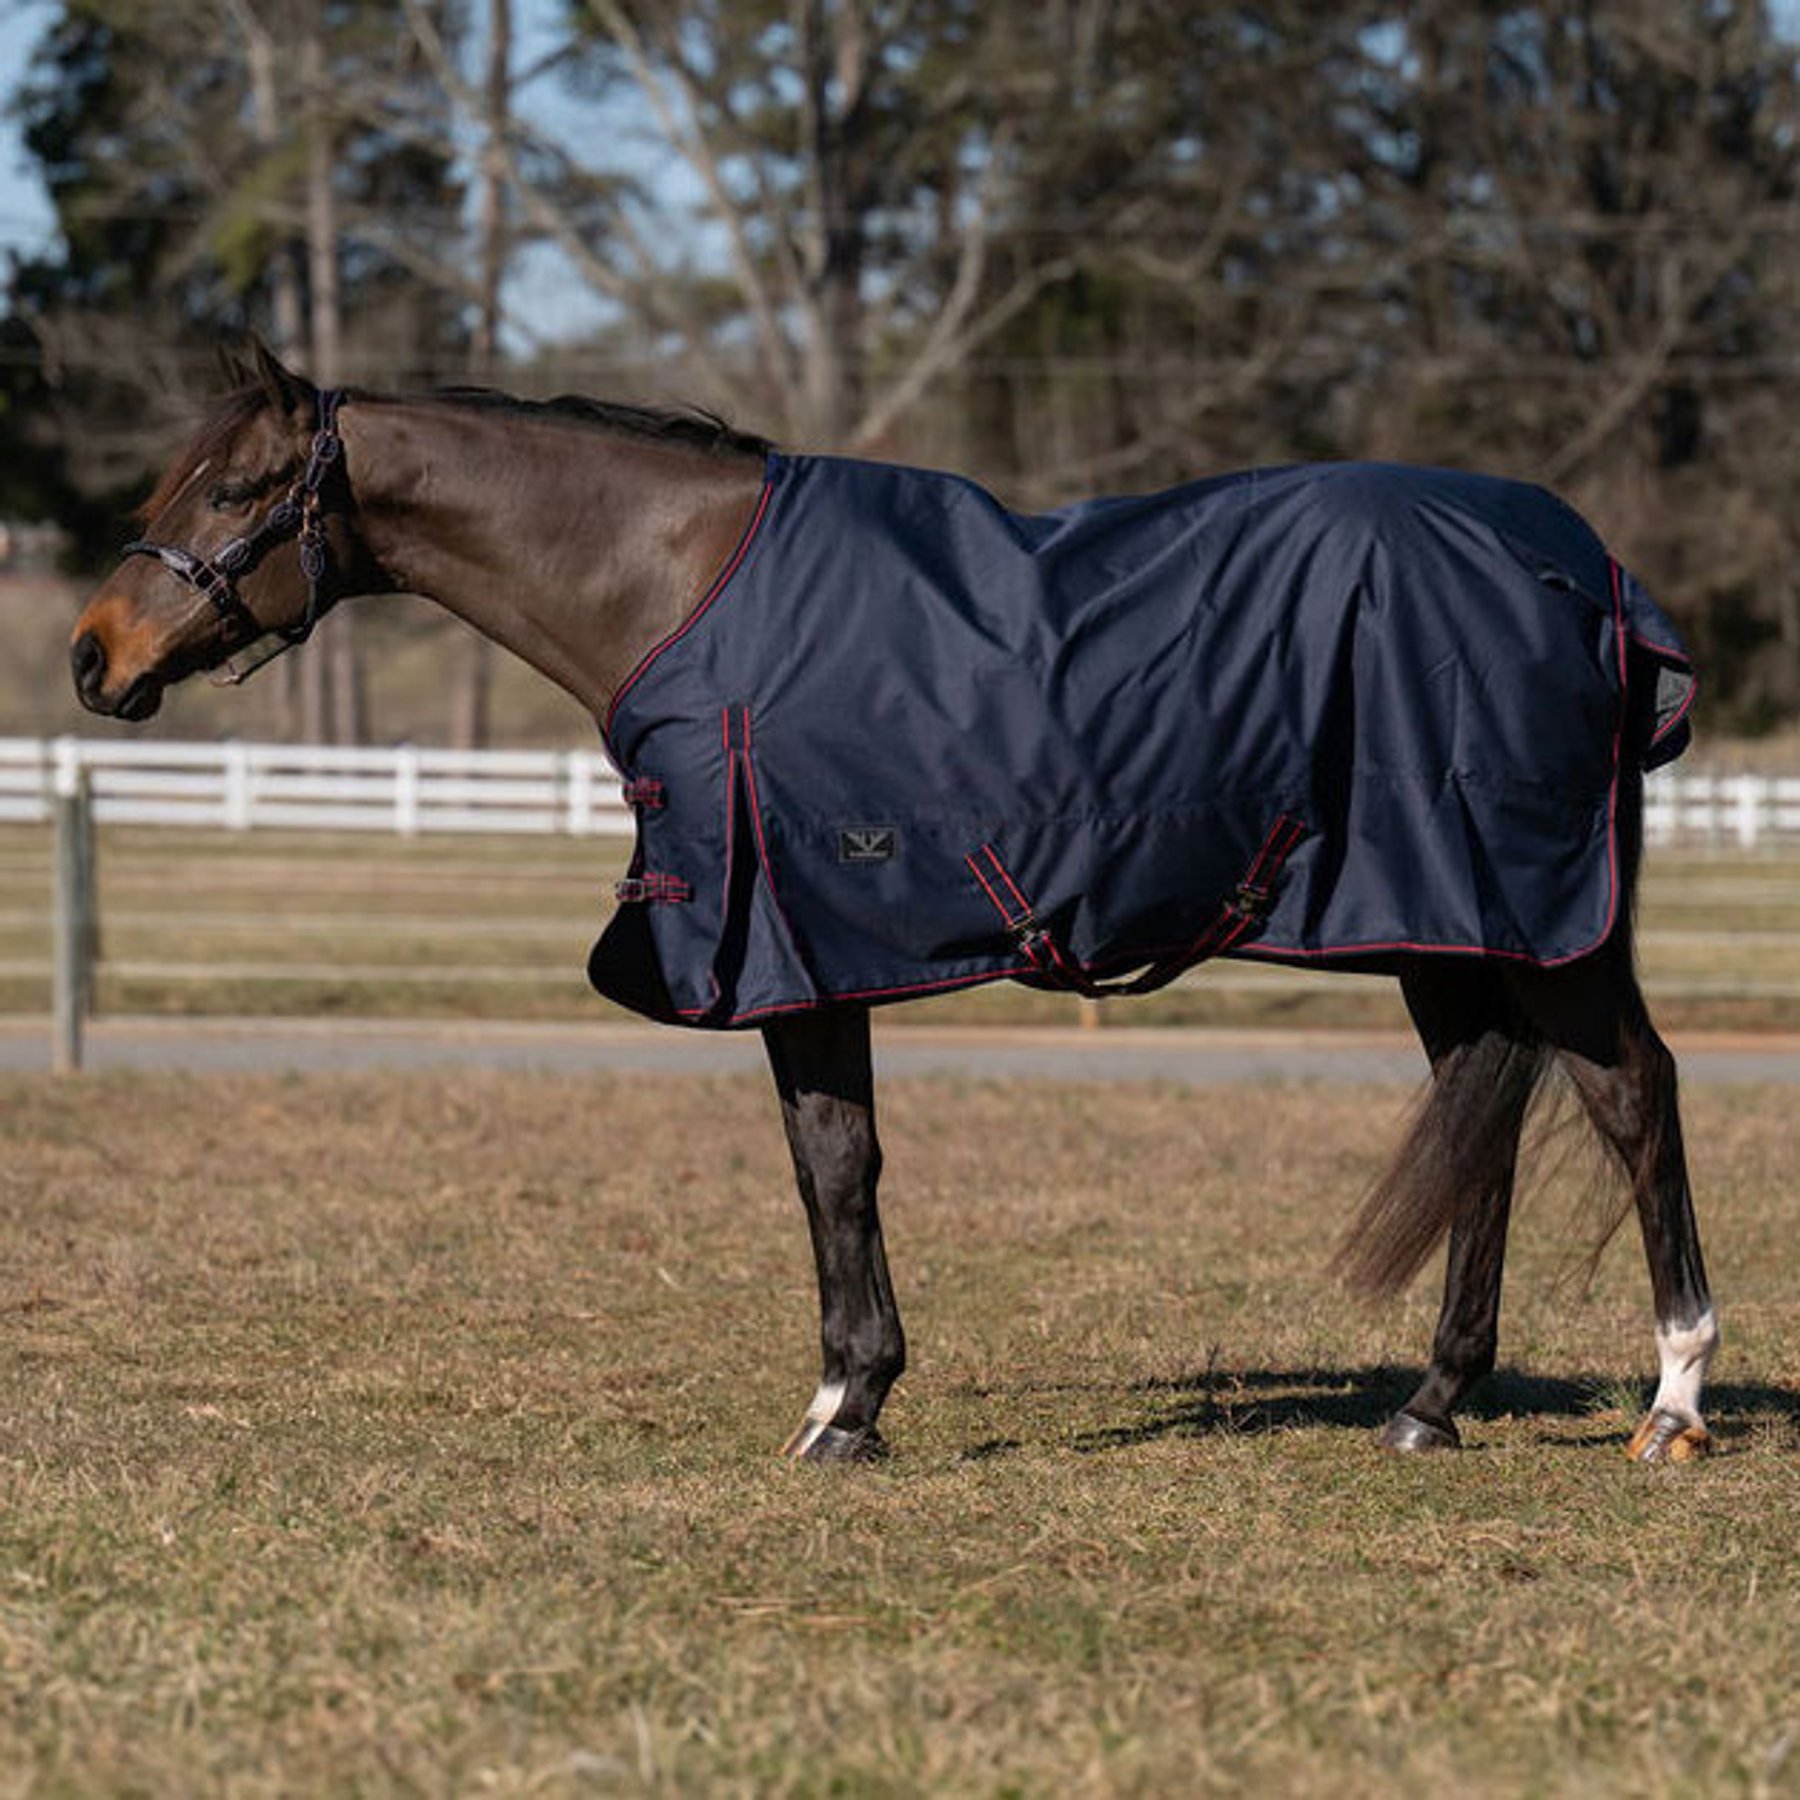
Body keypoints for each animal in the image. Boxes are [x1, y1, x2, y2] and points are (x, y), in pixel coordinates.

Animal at [70, 343, 1718, 1466]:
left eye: (234, 490)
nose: (93, 657)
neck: (680, 585)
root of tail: (1590, 569)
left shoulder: (789, 943)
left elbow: (835, 1168)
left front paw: (845, 1410)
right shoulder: (810, 953)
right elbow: (835, 1163)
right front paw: (846, 1398)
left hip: (1529, 925)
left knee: (1633, 1094)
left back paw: (1676, 1399)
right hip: (1448, 927)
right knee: (1483, 1118)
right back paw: (1433, 1404)